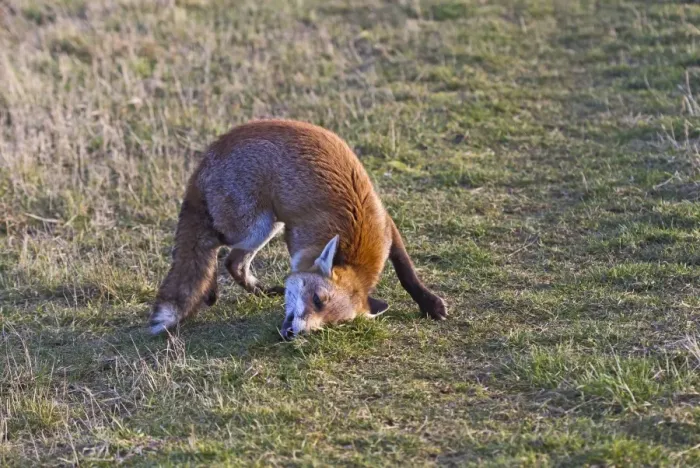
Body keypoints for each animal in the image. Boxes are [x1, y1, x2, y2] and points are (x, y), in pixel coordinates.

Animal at [149, 119, 447, 339]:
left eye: (331, 324)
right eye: (317, 300)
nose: (296, 333)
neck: (355, 248)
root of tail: (210, 152)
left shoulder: (388, 227)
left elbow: (406, 271)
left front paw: (428, 302)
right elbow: (406, 269)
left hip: (267, 226)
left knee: (233, 262)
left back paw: (246, 291)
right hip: (256, 225)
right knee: (214, 247)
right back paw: (210, 289)